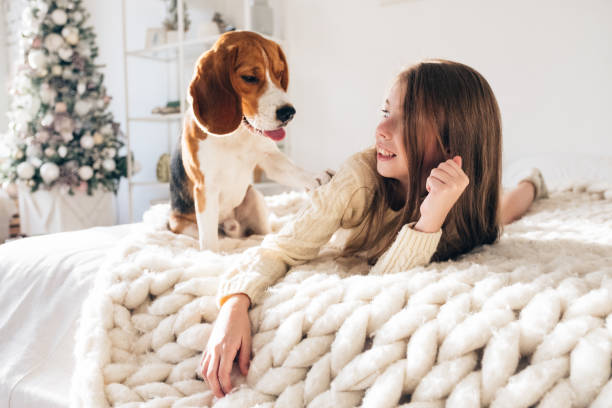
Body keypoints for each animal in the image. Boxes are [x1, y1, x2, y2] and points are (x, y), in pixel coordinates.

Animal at [169, 31, 330, 249]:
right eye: (250, 78)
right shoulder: (206, 188)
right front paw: (211, 255)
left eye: (280, 73)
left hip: (255, 199)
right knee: (215, 235)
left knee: (260, 233)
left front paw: (315, 177)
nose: (288, 113)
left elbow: (292, 169)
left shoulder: (269, 158)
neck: (238, 133)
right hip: (180, 223)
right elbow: (209, 239)